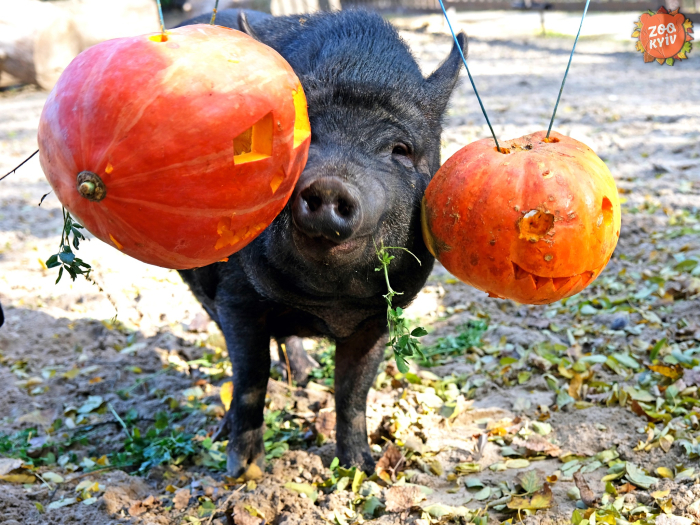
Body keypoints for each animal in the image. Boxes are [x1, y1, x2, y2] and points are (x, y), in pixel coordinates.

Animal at [178, 8, 468, 476]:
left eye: (400, 149)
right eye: (299, 134)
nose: (330, 184)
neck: (329, 306)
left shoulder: (380, 316)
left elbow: (353, 390)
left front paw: (363, 469)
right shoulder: (237, 297)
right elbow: (250, 378)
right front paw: (245, 471)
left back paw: (304, 376)